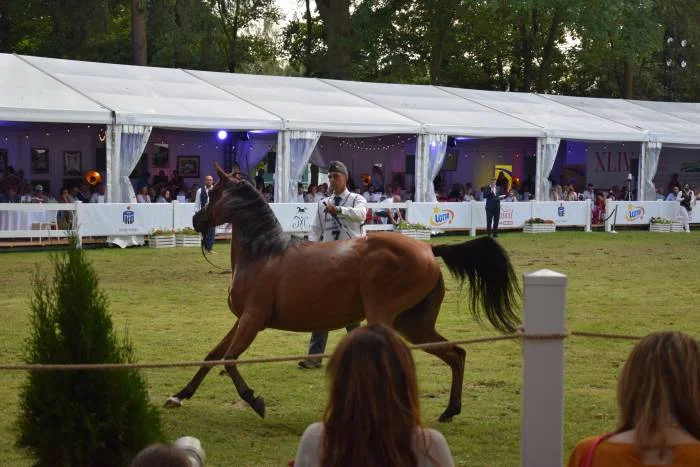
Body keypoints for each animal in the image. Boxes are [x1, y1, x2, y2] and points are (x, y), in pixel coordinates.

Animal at [165, 165, 520, 424]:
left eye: (213, 192)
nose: (196, 220)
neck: (263, 255)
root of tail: (428, 250)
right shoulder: (241, 320)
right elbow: (212, 356)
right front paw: (179, 396)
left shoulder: (253, 320)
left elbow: (229, 358)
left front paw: (255, 401)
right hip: (414, 324)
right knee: (457, 354)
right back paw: (449, 411)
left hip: (384, 317)